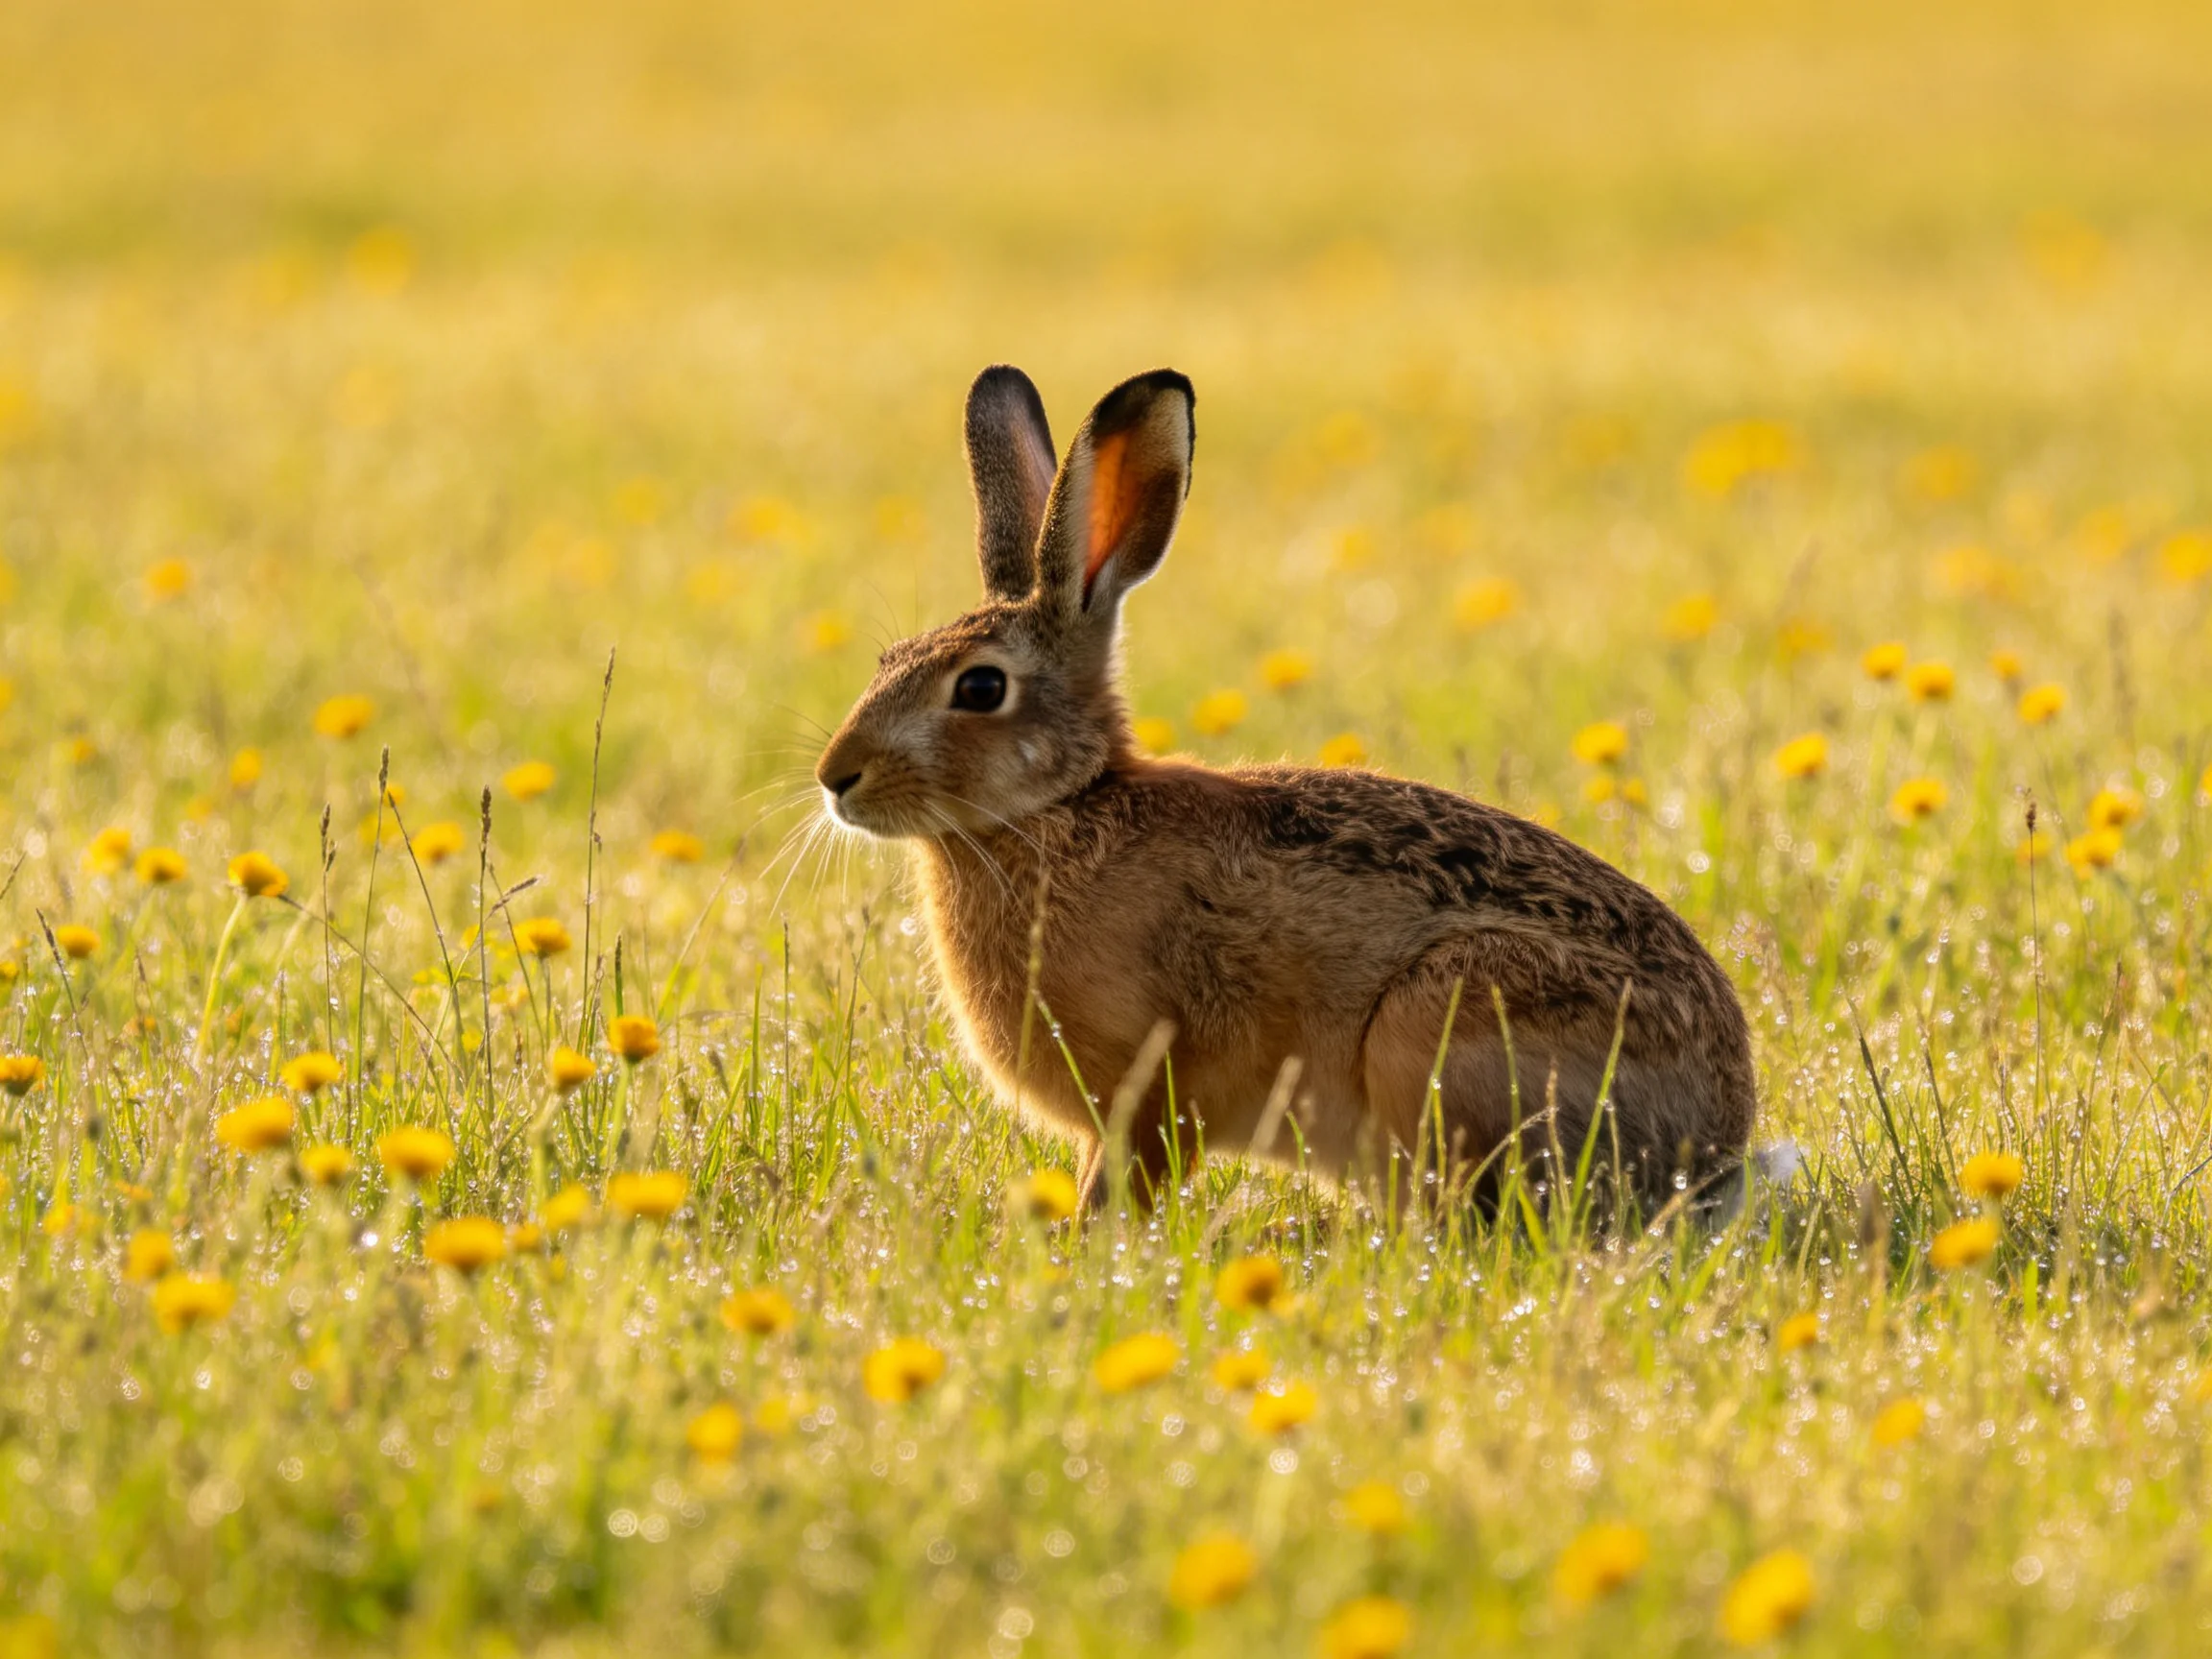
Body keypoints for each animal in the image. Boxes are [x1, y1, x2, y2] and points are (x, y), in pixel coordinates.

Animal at [815, 365, 1757, 1211]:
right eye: (887, 661)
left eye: (980, 688)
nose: (835, 778)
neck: (1061, 808)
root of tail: (1719, 1149)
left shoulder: (1155, 1084)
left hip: (1446, 1019)